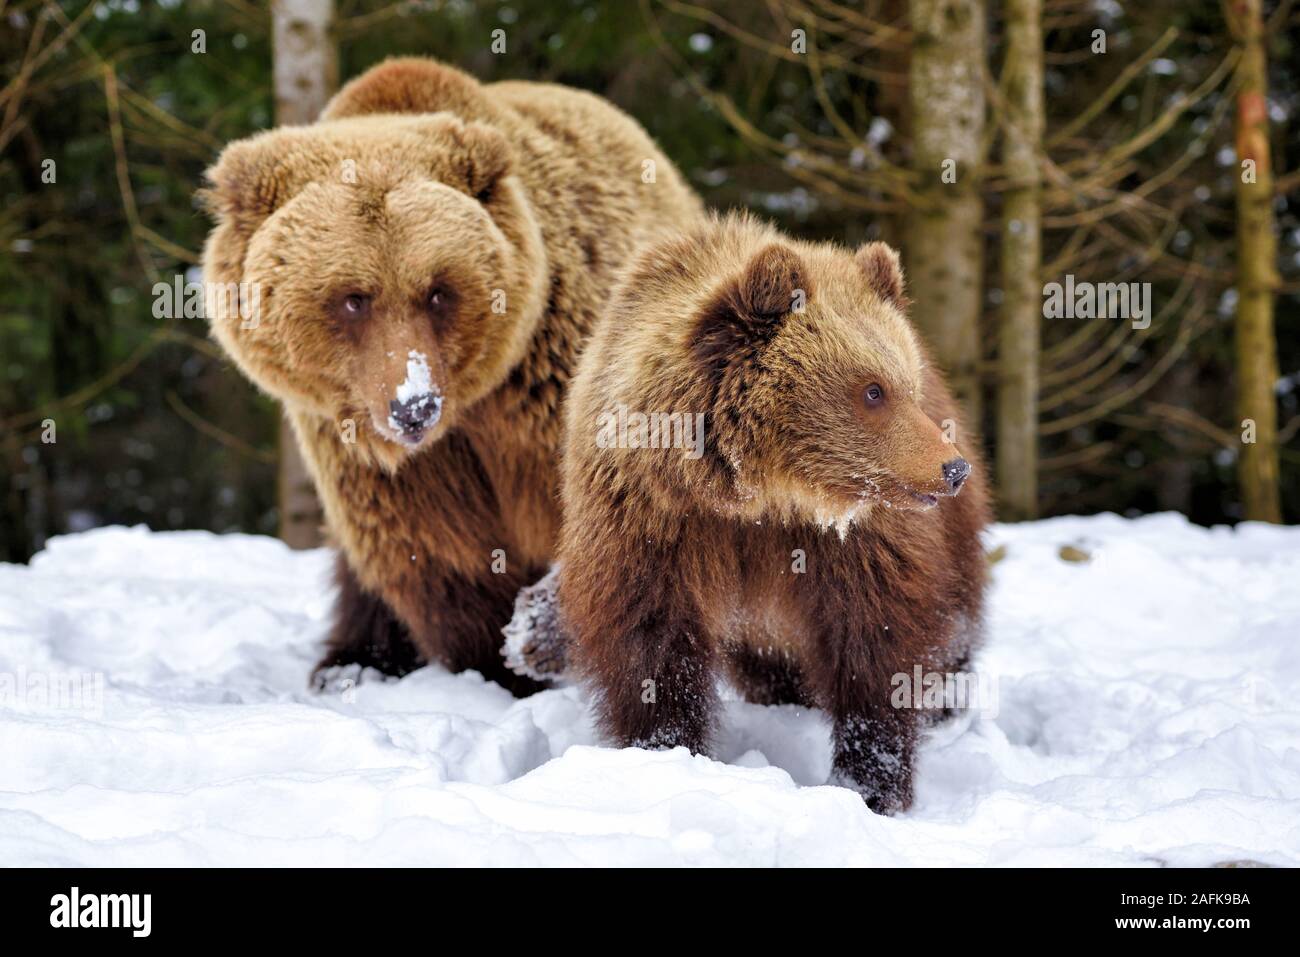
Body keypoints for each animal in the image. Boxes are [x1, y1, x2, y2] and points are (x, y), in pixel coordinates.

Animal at [199, 58, 703, 694]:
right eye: (353, 298)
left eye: (438, 290)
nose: (413, 405)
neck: (472, 405)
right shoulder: (379, 459)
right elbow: (440, 557)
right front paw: (494, 664)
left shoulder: (553, 386)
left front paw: (536, 634)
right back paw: (352, 662)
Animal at [554, 213, 991, 813]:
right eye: (872, 390)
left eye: (905, 383)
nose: (952, 469)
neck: (757, 493)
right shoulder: (653, 518)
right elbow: (649, 637)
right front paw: (666, 751)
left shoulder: (856, 540)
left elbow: (875, 639)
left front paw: (870, 782)